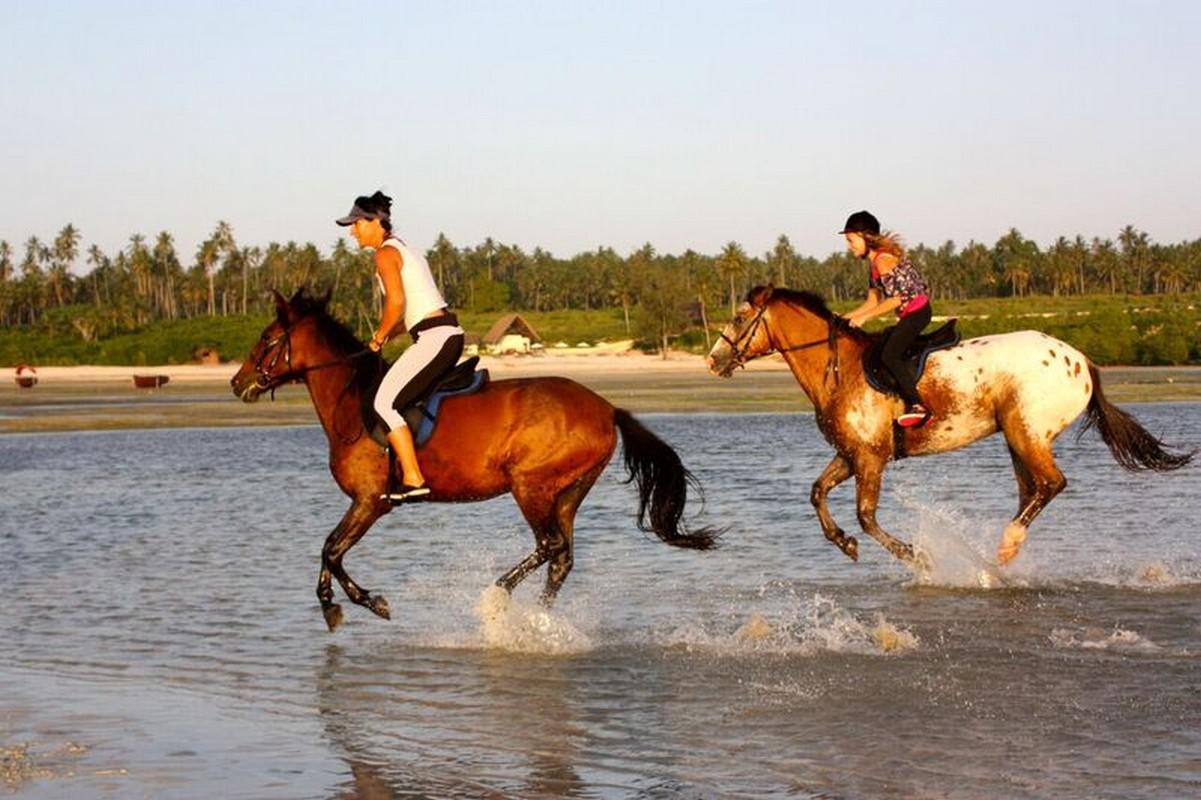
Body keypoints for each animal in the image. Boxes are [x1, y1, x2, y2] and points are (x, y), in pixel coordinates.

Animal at [231, 289, 718, 631]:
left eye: (267, 340)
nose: (238, 383)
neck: (352, 404)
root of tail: (606, 408)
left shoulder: (372, 501)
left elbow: (331, 550)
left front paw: (365, 603)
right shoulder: (365, 504)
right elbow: (328, 550)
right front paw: (334, 605)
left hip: (530, 485)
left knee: (549, 546)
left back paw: (498, 599)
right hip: (568, 491)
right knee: (561, 557)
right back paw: (538, 620)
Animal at [707, 285, 1193, 568]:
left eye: (739, 318)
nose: (713, 360)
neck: (838, 370)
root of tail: (1081, 360)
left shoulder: (870, 458)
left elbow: (866, 516)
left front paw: (914, 556)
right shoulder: (852, 454)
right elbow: (817, 494)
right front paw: (843, 543)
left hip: (1026, 431)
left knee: (1051, 483)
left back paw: (1006, 544)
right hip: (1017, 437)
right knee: (1033, 489)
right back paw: (1001, 551)